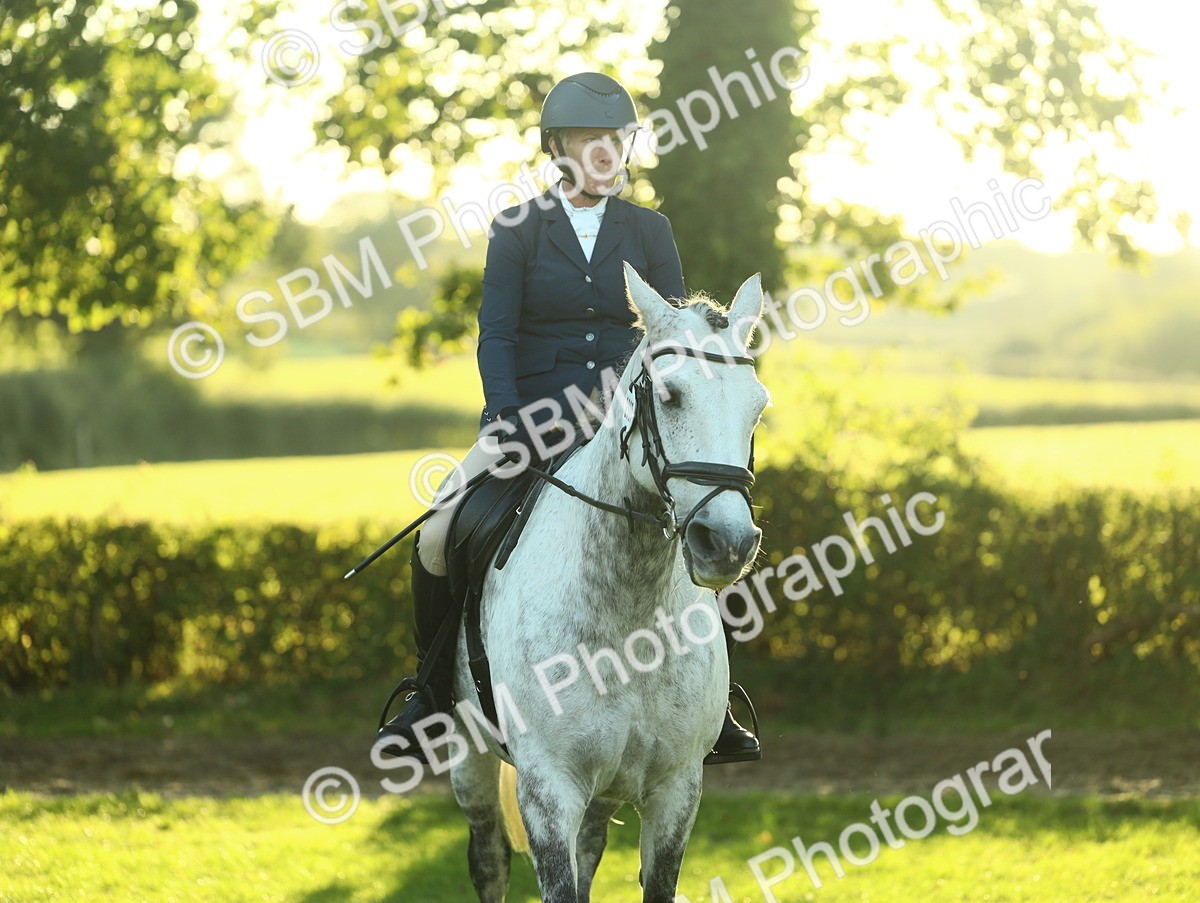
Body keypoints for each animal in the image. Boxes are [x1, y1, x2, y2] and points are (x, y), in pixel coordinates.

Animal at [447, 263, 769, 902]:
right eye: (669, 396)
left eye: (758, 407)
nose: (727, 542)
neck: (630, 615)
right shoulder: (548, 790)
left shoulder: (675, 791)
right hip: (469, 754)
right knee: (489, 856)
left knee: (590, 849)